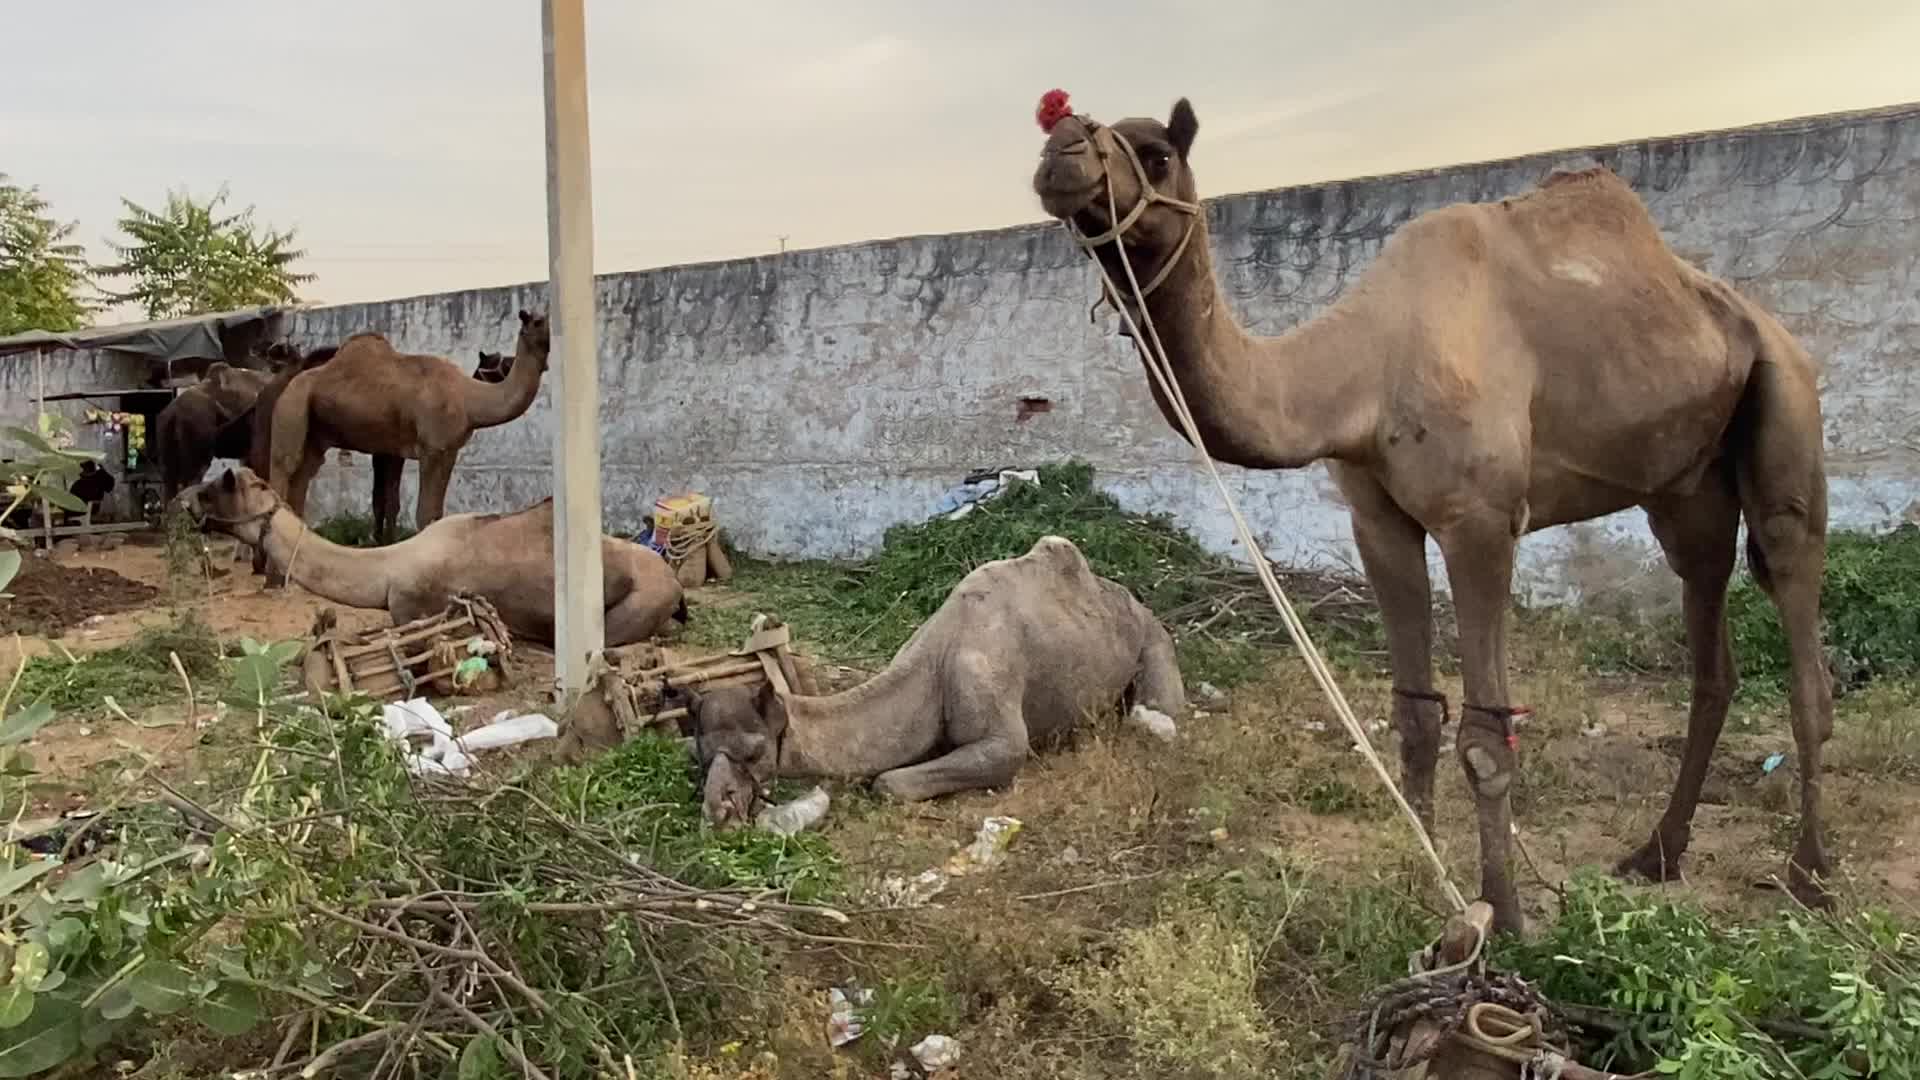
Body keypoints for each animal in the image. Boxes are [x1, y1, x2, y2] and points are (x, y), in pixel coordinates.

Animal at [177, 466, 689, 647]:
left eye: (215, 488)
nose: (182, 499)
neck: (388, 566)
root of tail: (677, 586)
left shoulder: (411, 608)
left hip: (640, 604)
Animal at [267, 310, 551, 536]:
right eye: (537, 321)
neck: (467, 397)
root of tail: (289, 384)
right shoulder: (431, 449)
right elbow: (424, 515)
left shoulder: (447, 450)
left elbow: (434, 513)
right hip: (292, 406)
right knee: (283, 467)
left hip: (315, 433)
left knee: (303, 475)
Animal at [688, 535, 1186, 826]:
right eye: (701, 754)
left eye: (755, 752)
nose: (719, 809)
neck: (933, 665)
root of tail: (1130, 598)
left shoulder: (992, 714)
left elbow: (889, 783)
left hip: (1154, 640)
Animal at [1031, 97, 1833, 934]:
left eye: (1156, 154)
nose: (1062, 153)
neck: (1363, 374)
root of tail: (1760, 321)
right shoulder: (1375, 517)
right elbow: (1414, 718)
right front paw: (1424, 893)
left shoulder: (1479, 519)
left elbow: (1485, 734)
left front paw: (1504, 919)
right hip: (1682, 484)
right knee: (1709, 630)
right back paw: (1659, 852)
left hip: (1785, 404)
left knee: (1797, 607)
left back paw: (1809, 872)